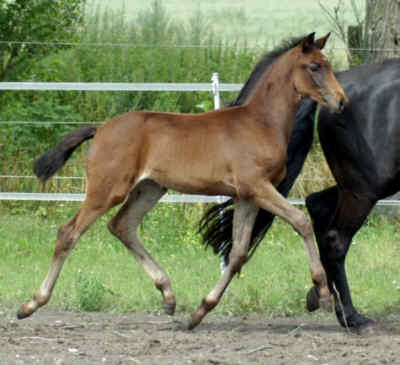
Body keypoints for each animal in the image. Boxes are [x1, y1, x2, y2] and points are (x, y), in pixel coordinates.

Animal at [17, 33, 346, 328]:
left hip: (150, 188)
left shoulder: (246, 196)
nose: (342, 101)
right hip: (107, 190)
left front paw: (200, 312)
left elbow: (238, 253)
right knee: (68, 232)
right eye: (315, 66)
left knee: (122, 226)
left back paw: (168, 295)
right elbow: (300, 222)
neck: (260, 122)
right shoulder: (257, 188)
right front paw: (322, 293)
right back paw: (30, 304)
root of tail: (100, 130)